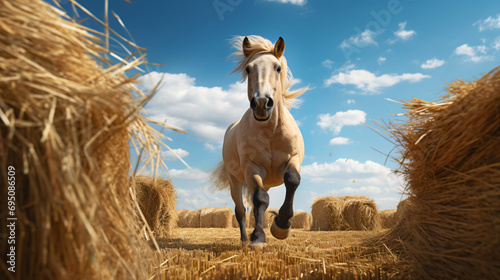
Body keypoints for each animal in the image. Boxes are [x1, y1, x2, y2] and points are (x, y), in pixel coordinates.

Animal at [210, 35, 306, 247]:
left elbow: (292, 180)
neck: (270, 132)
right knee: (241, 210)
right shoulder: (251, 167)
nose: (262, 103)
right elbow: (261, 199)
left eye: (277, 68)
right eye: (248, 68)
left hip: (266, 180)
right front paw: (258, 238)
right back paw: (245, 240)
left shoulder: (292, 159)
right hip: (235, 181)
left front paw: (281, 226)